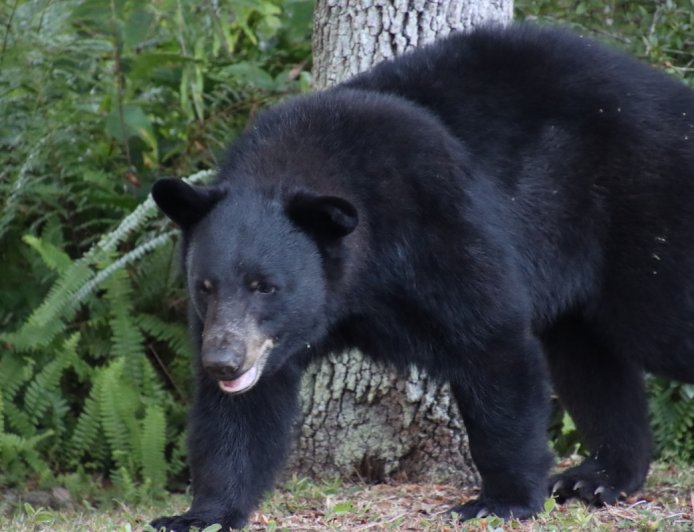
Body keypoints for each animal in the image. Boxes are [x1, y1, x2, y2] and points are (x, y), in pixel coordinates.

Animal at [149, 23, 694, 530]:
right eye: (205, 286)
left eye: (266, 286)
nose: (222, 362)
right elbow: (241, 414)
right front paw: (199, 513)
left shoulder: (437, 218)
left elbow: (490, 340)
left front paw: (501, 499)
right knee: (588, 362)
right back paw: (598, 477)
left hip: (642, 217)